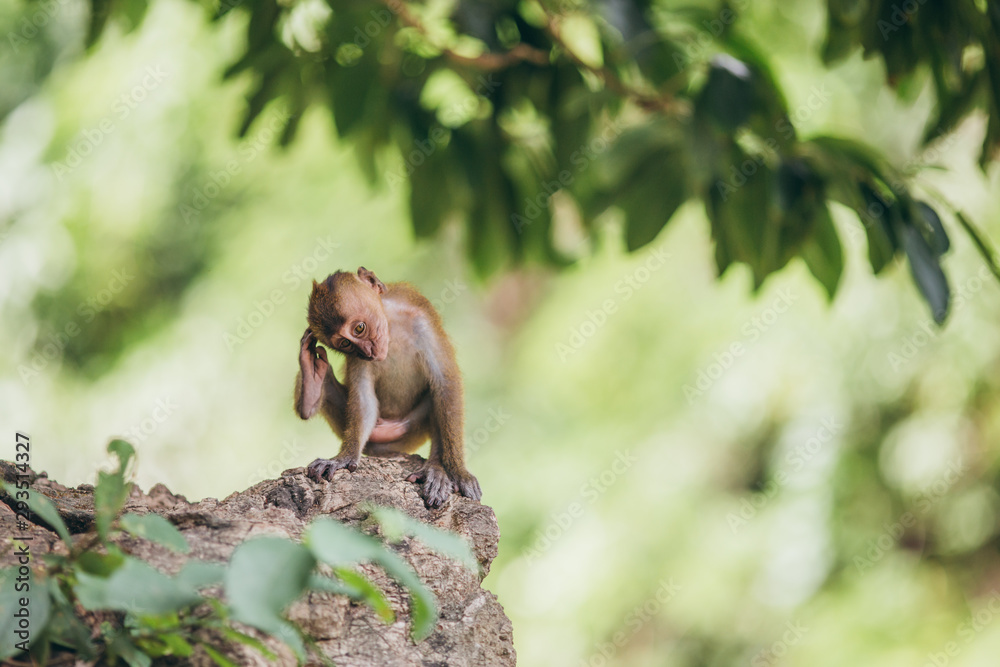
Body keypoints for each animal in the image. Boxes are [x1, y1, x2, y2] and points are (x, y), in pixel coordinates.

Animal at [293, 266, 481, 509]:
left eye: (359, 328)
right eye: (346, 344)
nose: (368, 352)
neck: (391, 324)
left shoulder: (423, 320)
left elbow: (445, 385)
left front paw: (458, 472)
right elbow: (364, 398)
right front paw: (344, 458)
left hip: (412, 431)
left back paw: (435, 469)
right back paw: (313, 385)